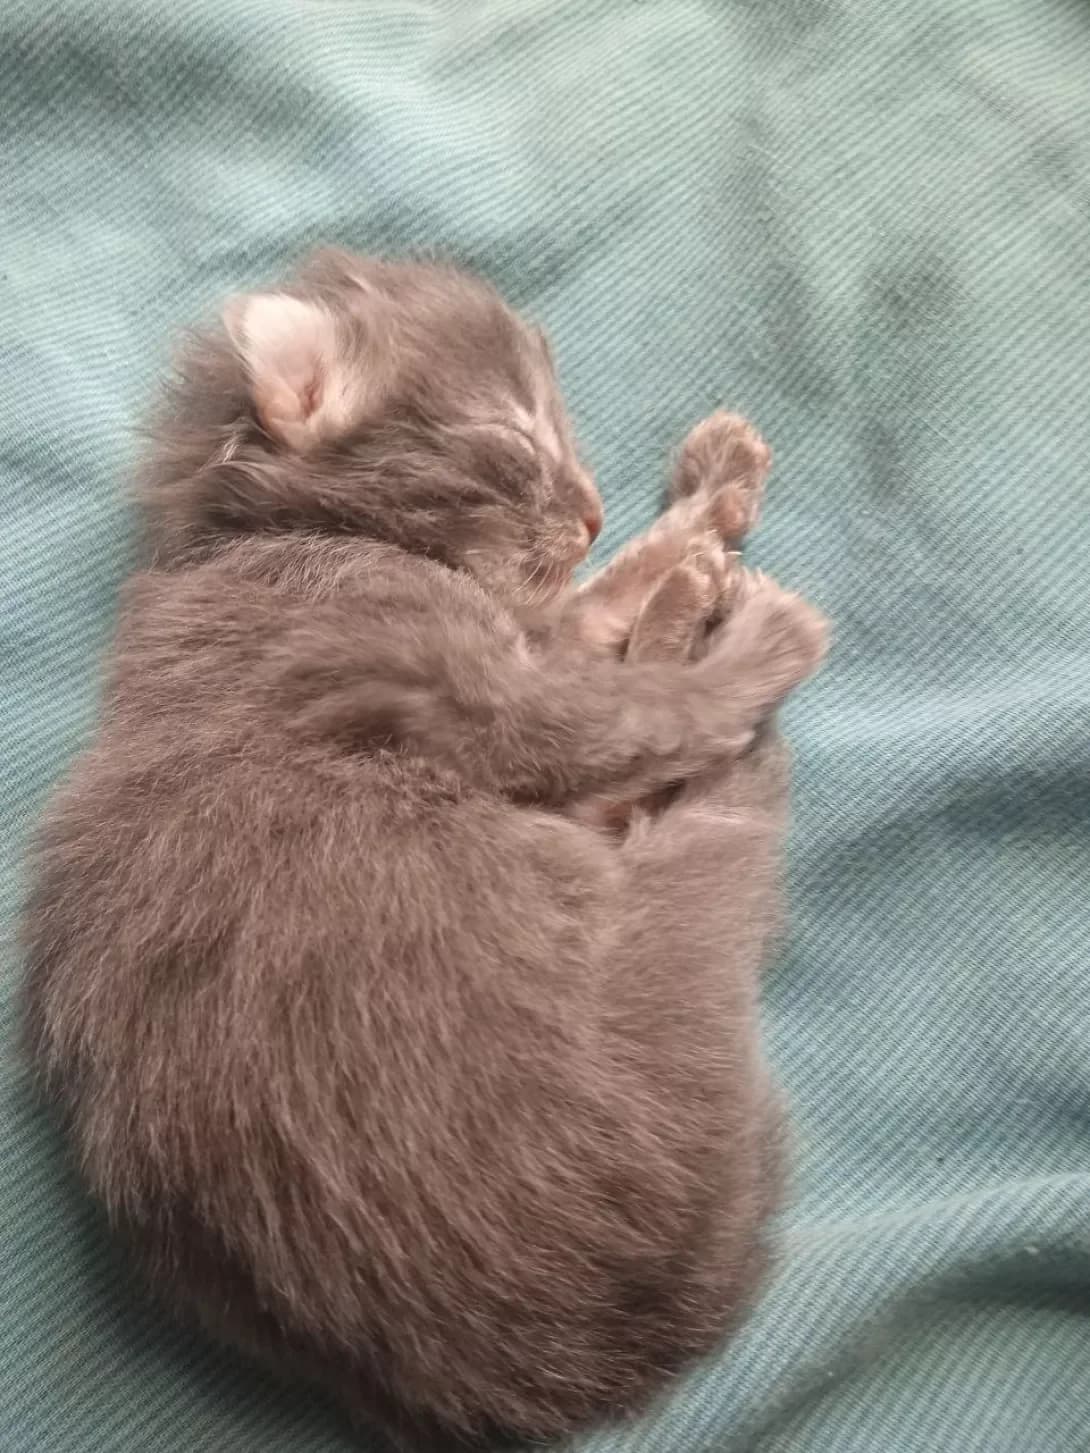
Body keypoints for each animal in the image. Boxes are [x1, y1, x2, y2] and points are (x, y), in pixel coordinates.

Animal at [21, 248, 826, 1450]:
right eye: (516, 440)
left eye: (567, 431)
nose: (592, 508)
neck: (270, 541)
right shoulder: (496, 702)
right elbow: (644, 704)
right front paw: (735, 614)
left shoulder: (523, 637)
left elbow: (592, 604)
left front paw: (701, 506)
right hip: (646, 914)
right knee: (701, 790)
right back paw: (720, 624)